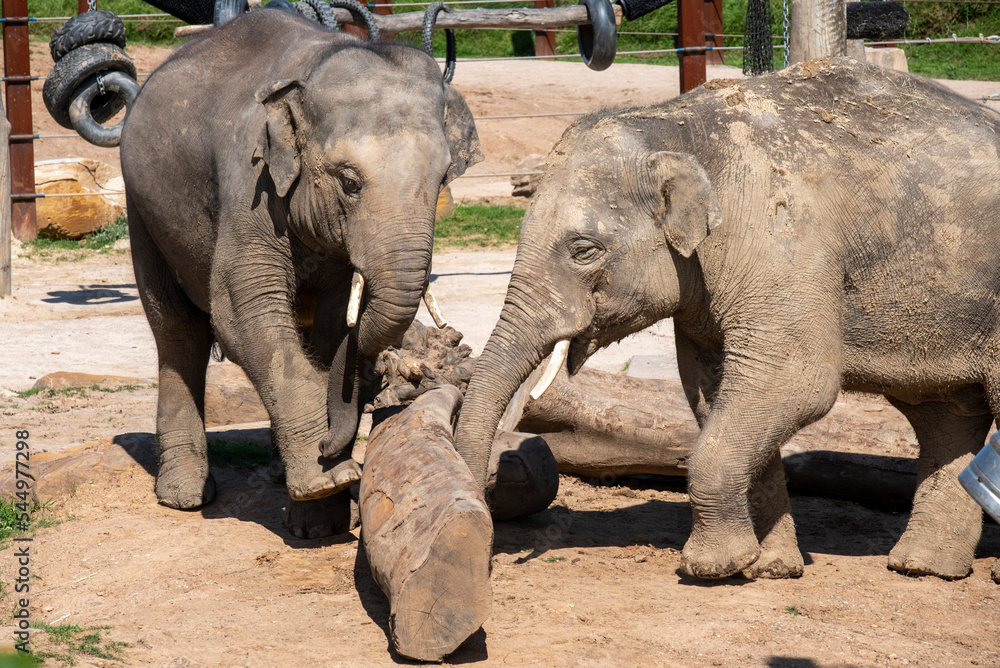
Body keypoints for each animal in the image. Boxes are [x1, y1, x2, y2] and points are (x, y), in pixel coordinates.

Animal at [120, 8, 481, 536]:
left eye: (441, 181)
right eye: (349, 182)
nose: (333, 444)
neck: (318, 64)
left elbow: (332, 328)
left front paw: (321, 519)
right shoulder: (250, 186)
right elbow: (244, 312)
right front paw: (326, 481)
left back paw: (276, 475)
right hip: (142, 209)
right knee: (177, 330)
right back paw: (184, 497)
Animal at [454, 58, 1000, 580]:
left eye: (583, 250)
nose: (488, 551)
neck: (678, 126)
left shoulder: (783, 243)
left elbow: (795, 382)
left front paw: (712, 568)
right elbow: (714, 390)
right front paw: (769, 568)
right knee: (945, 416)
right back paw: (923, 567)